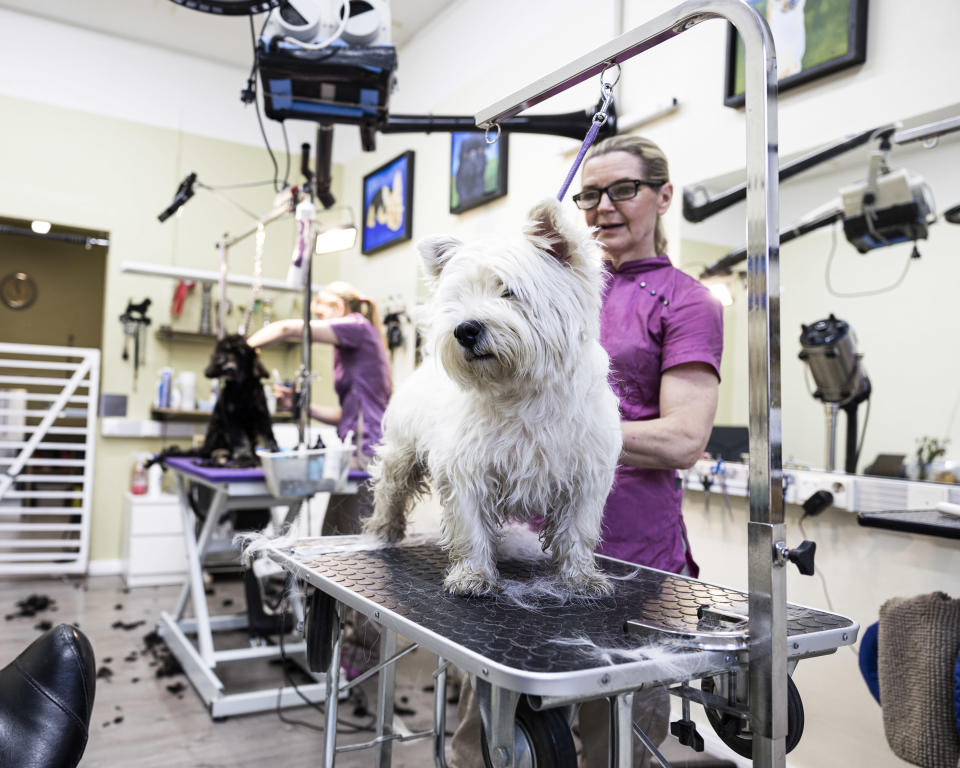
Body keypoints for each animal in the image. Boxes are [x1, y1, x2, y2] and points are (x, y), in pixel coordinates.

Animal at [362, 198, 624, 592]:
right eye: (458, 298)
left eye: (508, 291)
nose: (464, 330)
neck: (522, 389)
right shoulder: (467, 468)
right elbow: (470, 526)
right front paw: (472, 575)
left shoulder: (586, 473)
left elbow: (578, 528)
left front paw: (580, 577)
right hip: (401, 449)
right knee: (390, 487)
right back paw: (382, 530)